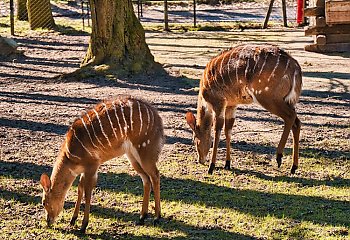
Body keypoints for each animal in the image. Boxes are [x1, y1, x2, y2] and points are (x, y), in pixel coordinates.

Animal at [39, 95, 165, 232]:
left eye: (44, 202)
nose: (48, 221)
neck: (70, 155)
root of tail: (157, 118)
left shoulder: (92, 165)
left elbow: (88, 192)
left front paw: (83, 226)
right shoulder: (85, 170)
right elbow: (80, 188)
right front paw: (73, 220)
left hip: (145, 151)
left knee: (155, 175)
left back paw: (157, 217)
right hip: (132, 156)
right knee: (146, 179)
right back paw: (142, 217)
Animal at [187, 43, 302, 174]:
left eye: (194, 140)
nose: (200, 160)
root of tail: (295, 67)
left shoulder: (218, 103)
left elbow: (217, 130)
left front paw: (211, 167)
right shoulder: (231, 105)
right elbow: (228, 130)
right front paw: (227, 164)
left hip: (268, 98)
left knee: (290, 116)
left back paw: (279, 157)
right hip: (289, 101)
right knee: (296, 122)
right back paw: (293, 167)